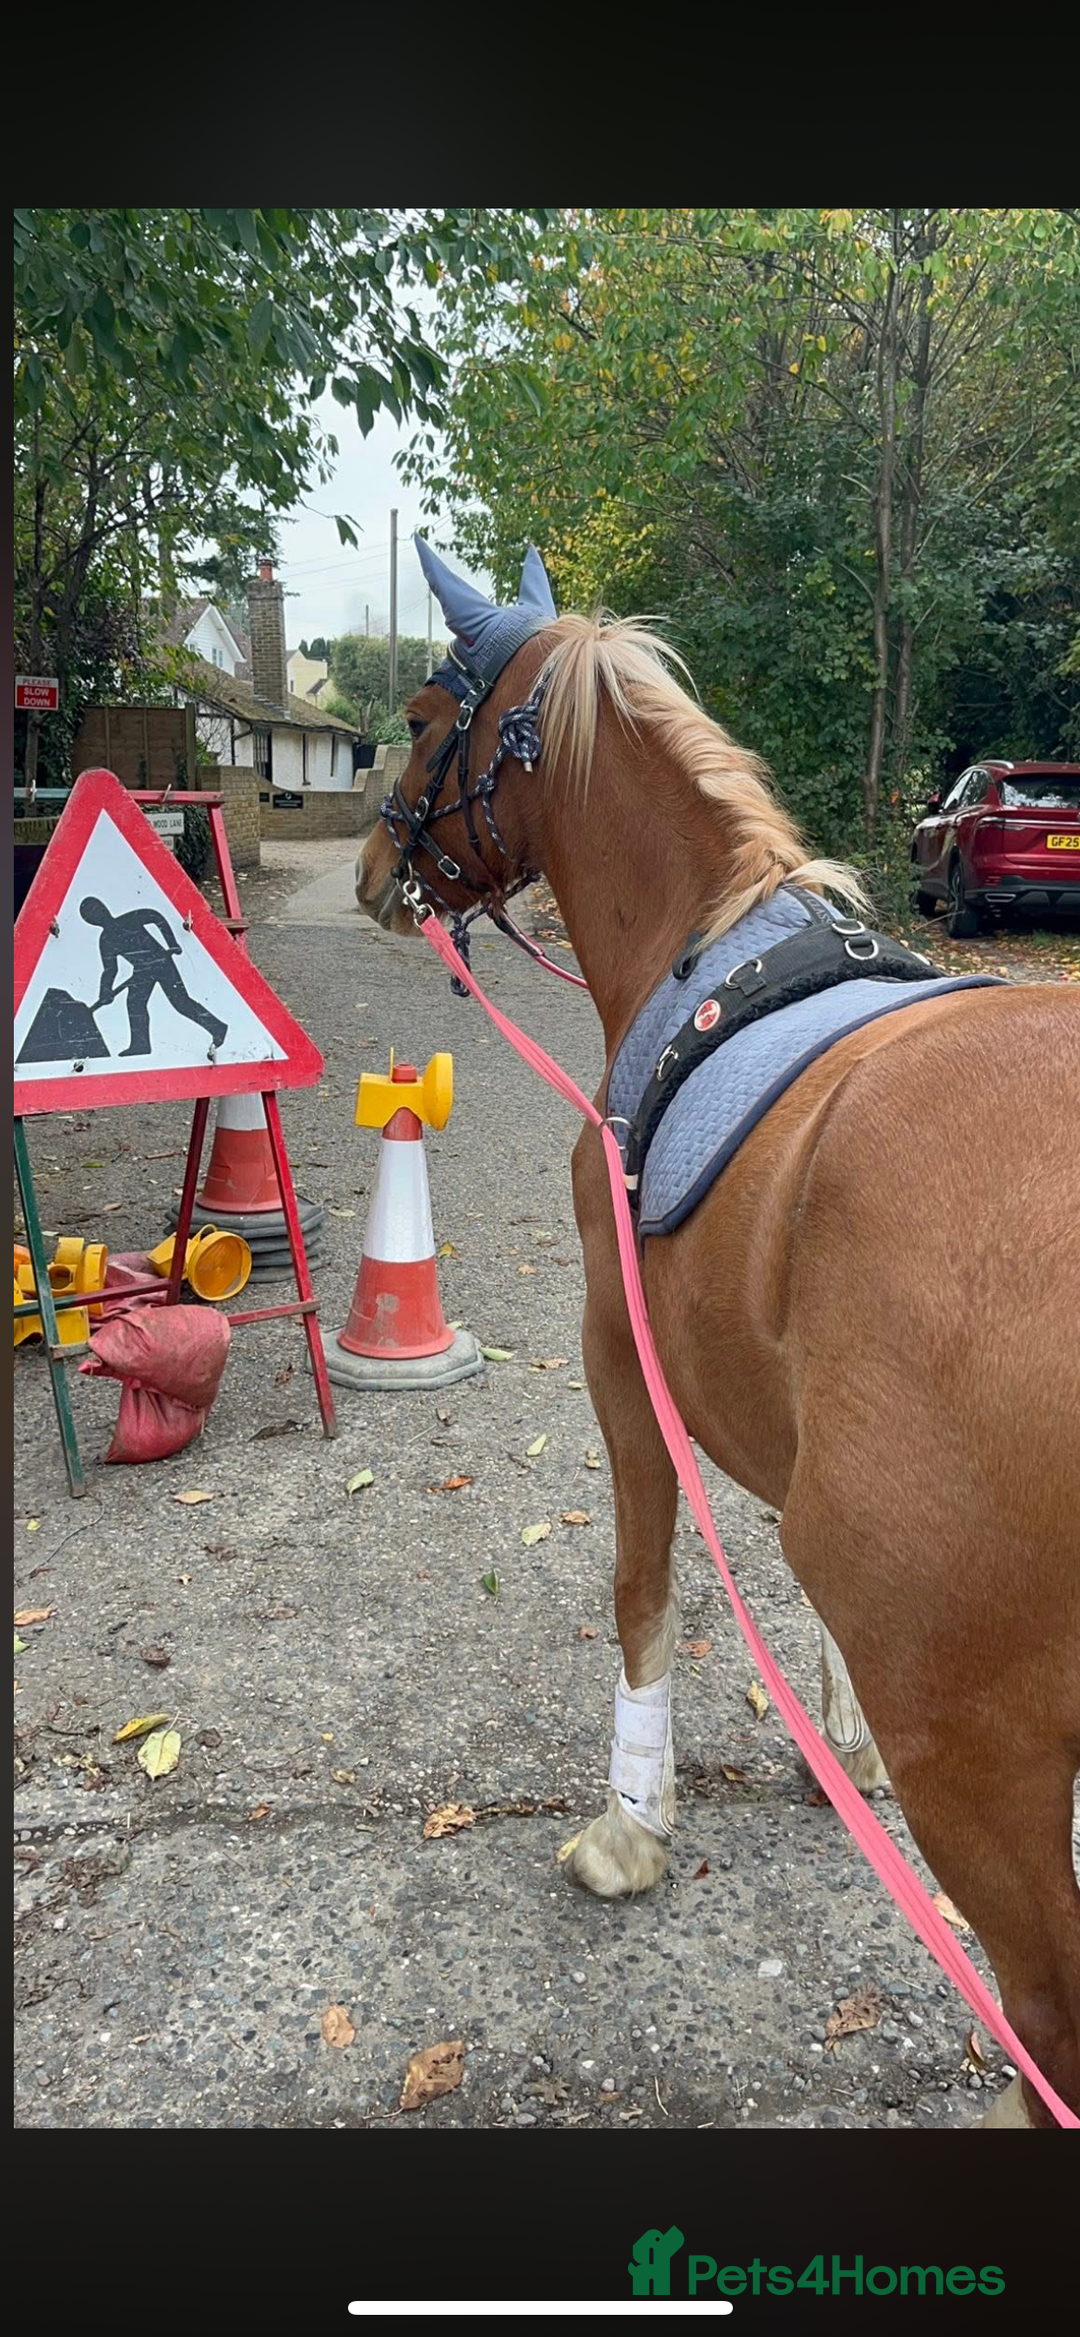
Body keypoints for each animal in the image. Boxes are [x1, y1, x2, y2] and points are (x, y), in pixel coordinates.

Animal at [357, 606, 1080, 2130]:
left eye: (422, 720)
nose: (376, 867)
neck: (703, 947)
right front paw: (838, 1748)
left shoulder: (616, 1352)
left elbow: (642, 1587)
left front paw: (633, 1822)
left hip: (980, 1743)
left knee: (1051, 2012)